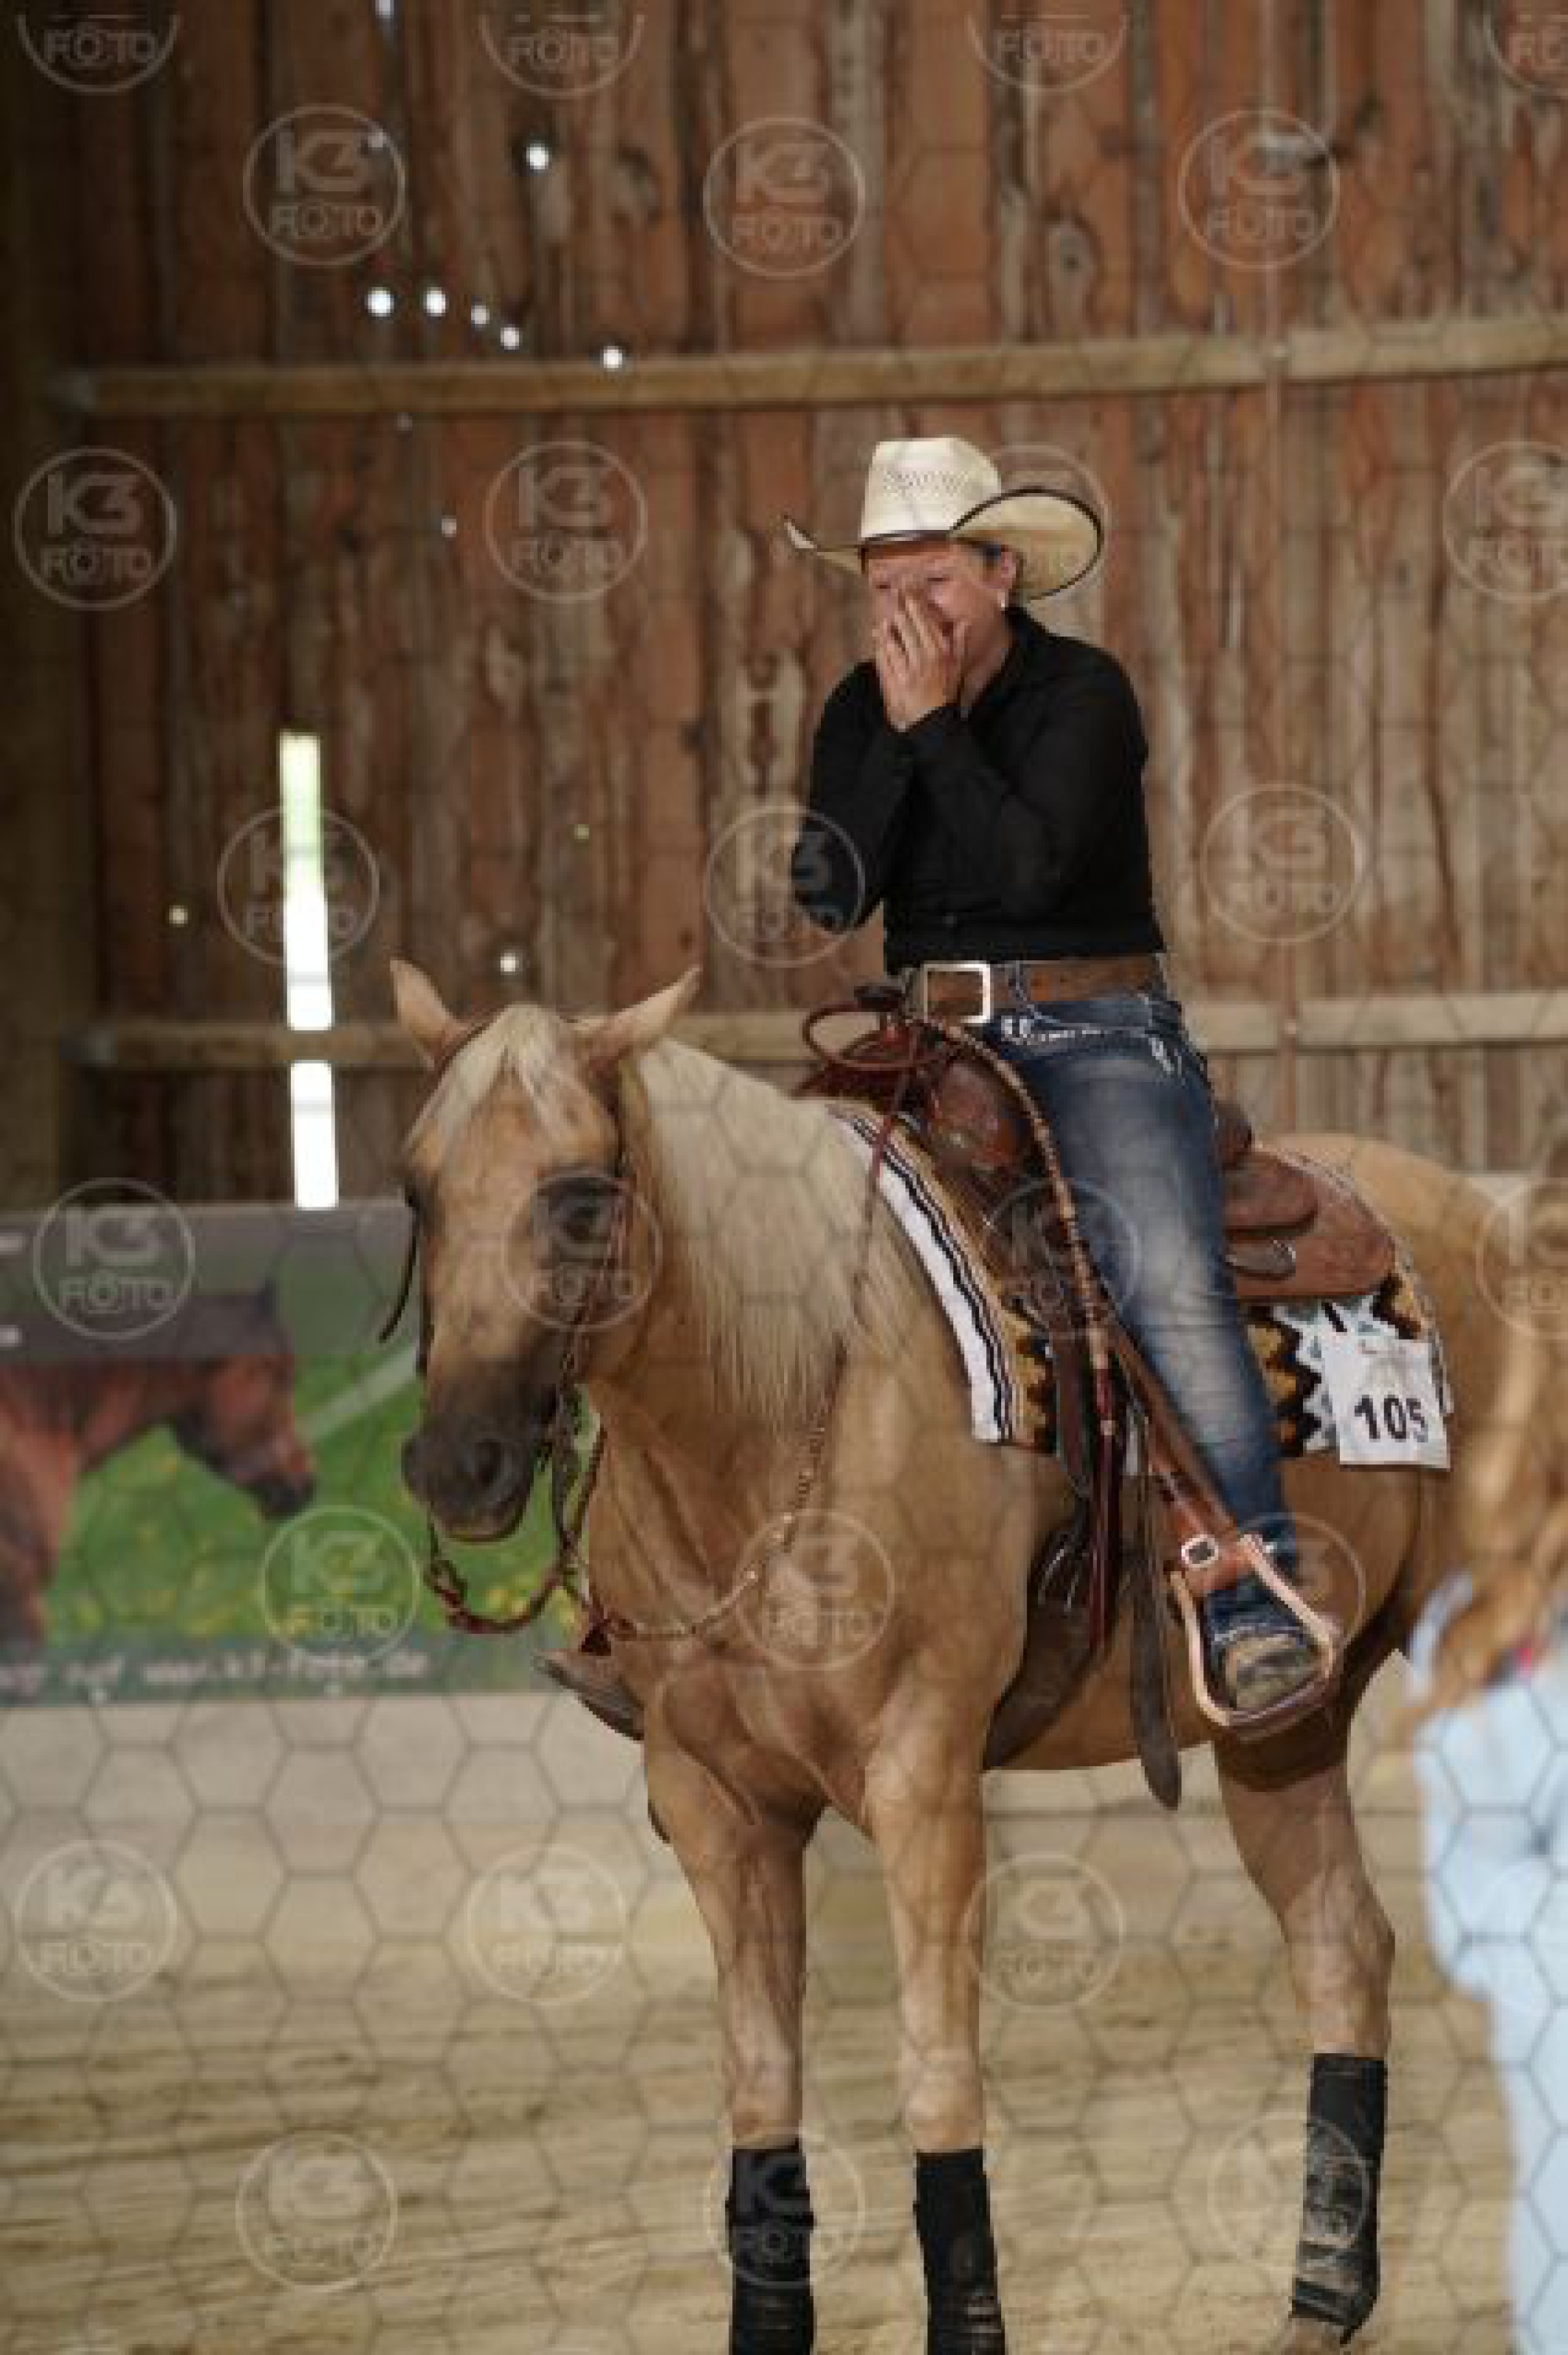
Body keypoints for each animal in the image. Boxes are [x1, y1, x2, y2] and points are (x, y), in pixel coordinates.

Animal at [389, 955, 1517, 2353]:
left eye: (582, 1194)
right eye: (416, 1188)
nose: (460, 1462)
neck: (776, 1416)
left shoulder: (922, 1779)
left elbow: (936, 2078)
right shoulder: (712, 1801)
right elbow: (759, 2088)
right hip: (1281, 1731)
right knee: (1343, 1945)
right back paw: (1320, 2298)